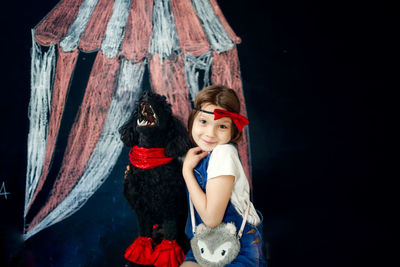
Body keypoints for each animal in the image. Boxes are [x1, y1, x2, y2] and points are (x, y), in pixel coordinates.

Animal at [119, 91, 191, 266]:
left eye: (164, 104)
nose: (147, 93)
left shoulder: (170, 208)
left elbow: (170, 236)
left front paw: (166, 254)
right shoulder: (142, 210)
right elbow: (144, 235)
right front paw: (140, 255)